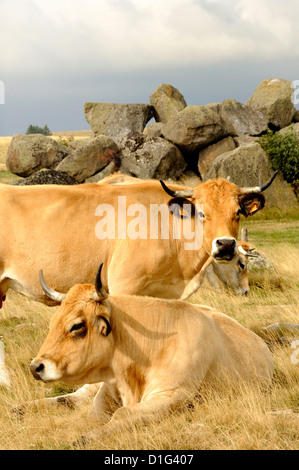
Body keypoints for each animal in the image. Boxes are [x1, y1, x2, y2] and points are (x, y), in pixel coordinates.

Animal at [29, 262, 276, 446]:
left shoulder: (174, 395)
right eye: (53, 322)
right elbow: (93, 414)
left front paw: (87, 438)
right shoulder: (107, 391)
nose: (35, 367)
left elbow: (122, 414)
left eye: (76, 326)